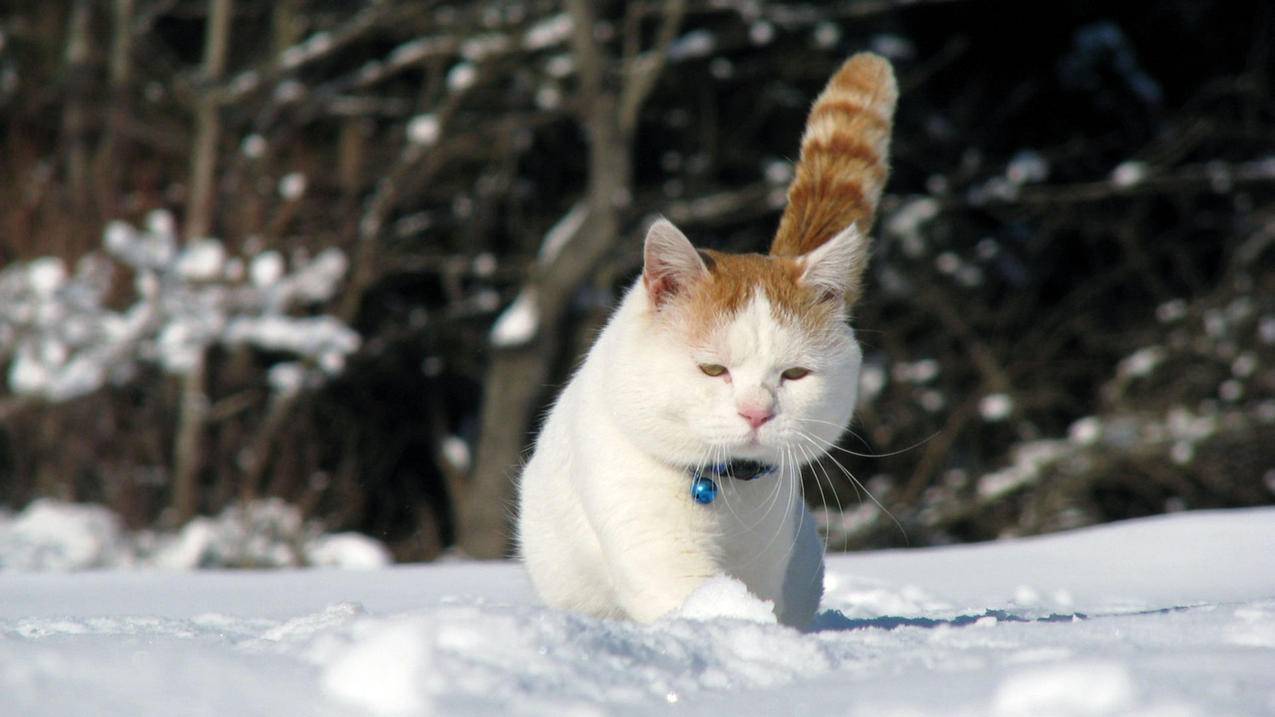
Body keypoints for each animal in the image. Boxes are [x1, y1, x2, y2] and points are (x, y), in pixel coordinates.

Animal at [515, 54, 897, 625]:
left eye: (794, 374)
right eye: (713, 369)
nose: (756, 413)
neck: (726, 493)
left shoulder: (767, 558)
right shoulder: (652, 542)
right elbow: (697, 604)